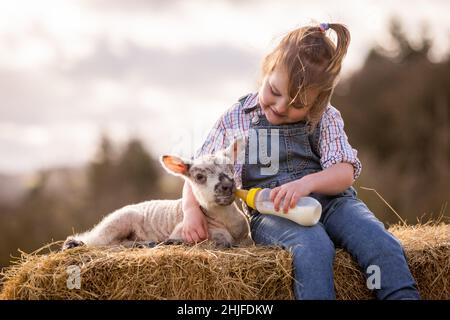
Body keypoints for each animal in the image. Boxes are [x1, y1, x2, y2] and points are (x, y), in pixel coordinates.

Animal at [62, 141, 253, 250]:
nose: (227, 186)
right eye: (199, 177)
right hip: (118, 221)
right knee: (101, 241)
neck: (225, 219)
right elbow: (222, 239)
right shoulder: (182, 230)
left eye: (230, 167)